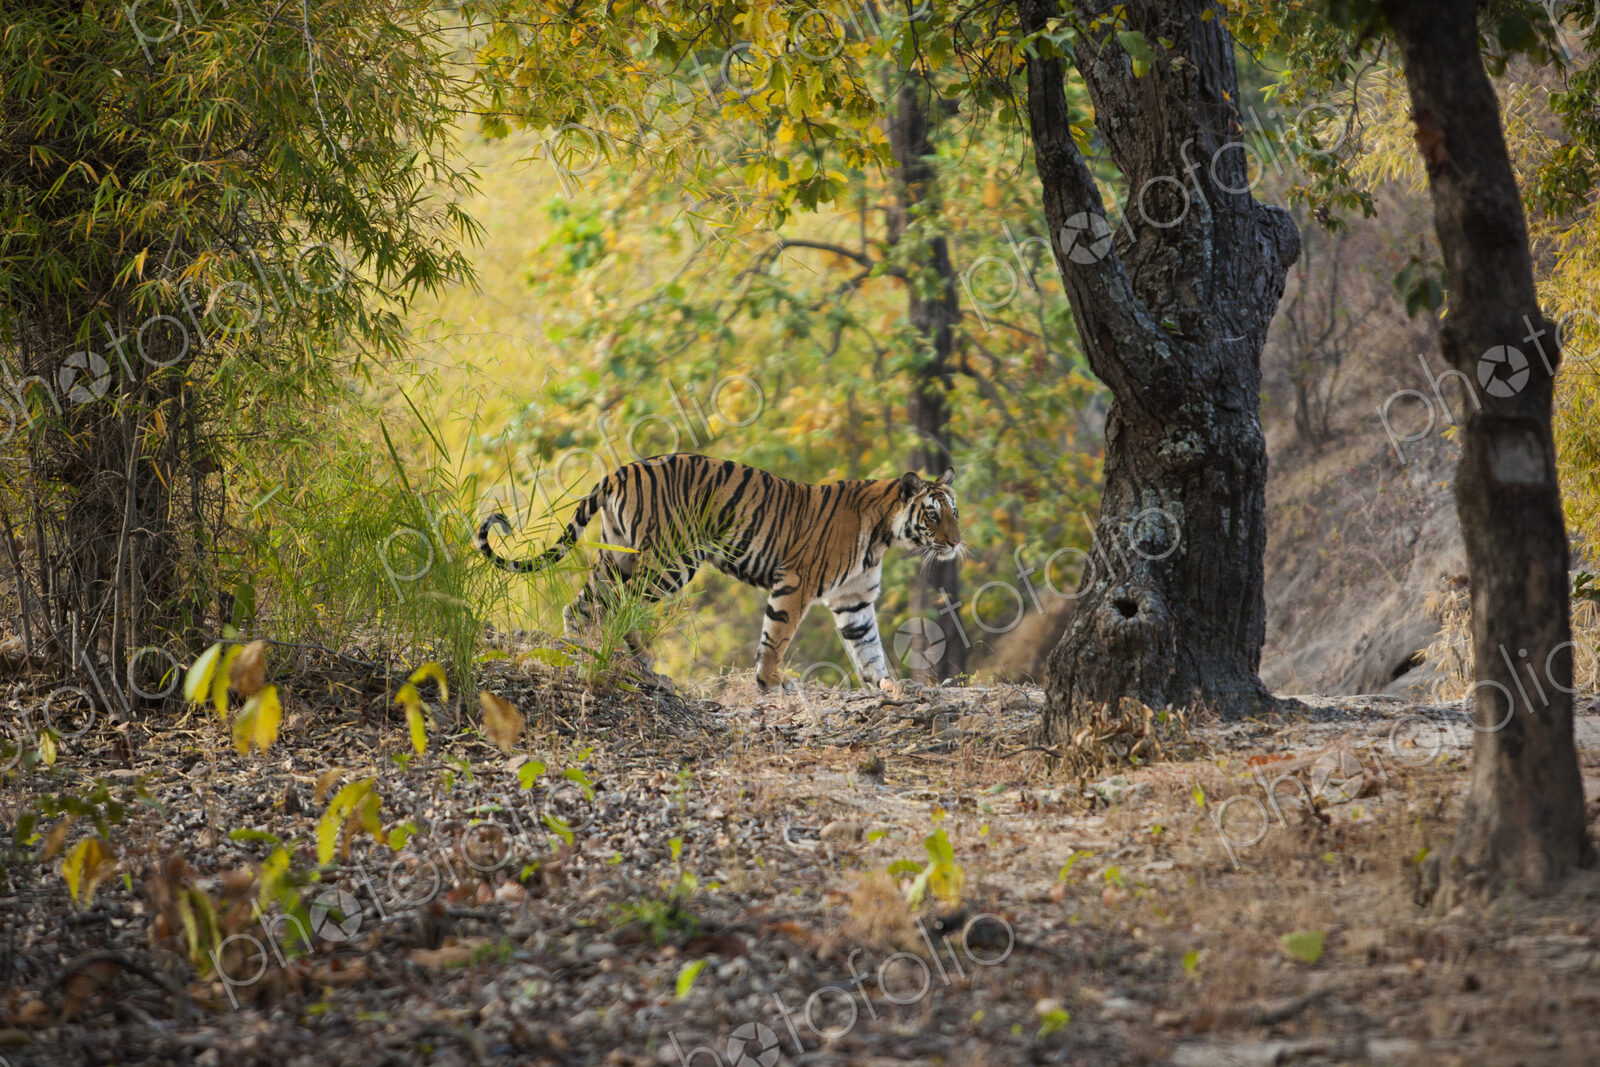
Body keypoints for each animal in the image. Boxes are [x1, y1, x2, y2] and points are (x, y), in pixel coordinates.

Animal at [474, 453, 963, 691]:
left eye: (954, 512)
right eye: (933, 514)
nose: (957, 542)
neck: (883, 535)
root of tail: (620, 470)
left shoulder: (854, 601)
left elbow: (869, 648)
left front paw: (887, 685)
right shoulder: (796, 583)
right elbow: (777, 636)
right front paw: (771, 683)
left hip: (619, 556)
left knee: (584, 604)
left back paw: (587, 648)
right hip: (669, 561)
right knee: (626, 607)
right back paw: (637, 661)